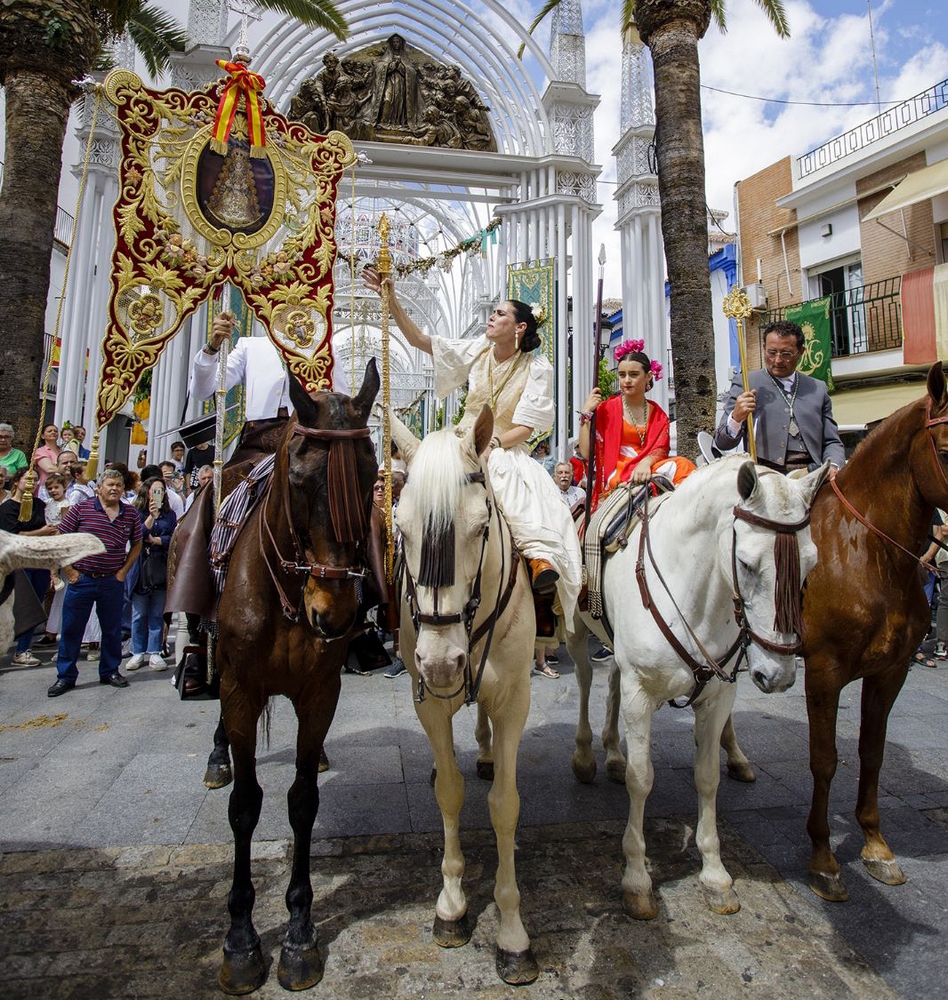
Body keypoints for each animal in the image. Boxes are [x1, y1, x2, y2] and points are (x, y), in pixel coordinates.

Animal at [213, 366, 380, 992]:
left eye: (372, 474)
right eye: (301, 479)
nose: (333, 613)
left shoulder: (319, 693)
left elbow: (302, 801)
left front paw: (300, 933)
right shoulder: (239, 689)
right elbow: (244, 805)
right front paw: (240, 940)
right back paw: (216, 757)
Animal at [388, 406, 540, 984]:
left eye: (479, 528)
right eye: (401, 528)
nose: (439, 661)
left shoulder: (515, 700)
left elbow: (505, 805)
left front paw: (513, 934)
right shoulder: (428, 703)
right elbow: (450, 793)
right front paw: (451, 905)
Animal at [564, 458, 828, 916]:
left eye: (810, 564)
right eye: (747, 563)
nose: (778, 676)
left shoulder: (718, 698)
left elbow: (707, 777)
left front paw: (715, 873)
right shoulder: (640, 694)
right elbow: (641, 779)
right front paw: (637, 878)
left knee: (611, 681)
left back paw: (613, 751)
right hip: (579, 634)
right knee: (584, 681)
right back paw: (586, 756)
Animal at [800, 364, 948, 904]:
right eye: (946, 449)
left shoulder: (891, 671)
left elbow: (872, 751)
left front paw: (875, 845)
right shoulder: (823, 671)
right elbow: (825, 759)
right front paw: (824, 859)